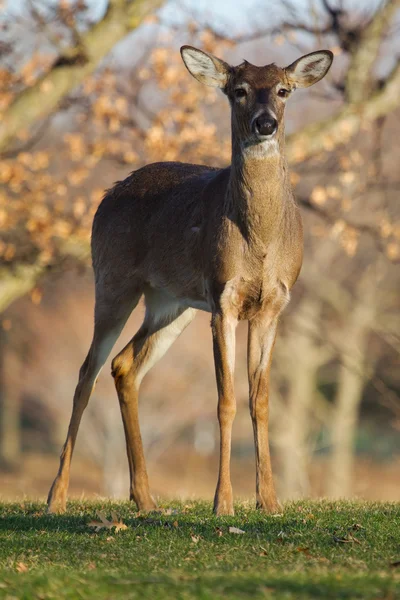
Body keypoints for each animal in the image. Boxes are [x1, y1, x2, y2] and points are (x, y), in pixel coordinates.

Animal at [48, 45, 332, 516]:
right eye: (238, 90)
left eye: (283, 90)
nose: (265, 123)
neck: (260, 243)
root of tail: (107, 194)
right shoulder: (222, 299)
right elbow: (226, 400)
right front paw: (224, 502)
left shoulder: (273, 305)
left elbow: (260, 401)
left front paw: (270, 501)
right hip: (112, 280)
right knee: (87, 372)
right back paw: (57, 497)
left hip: (172, 303)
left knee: (124, 366)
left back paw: (145, 499)